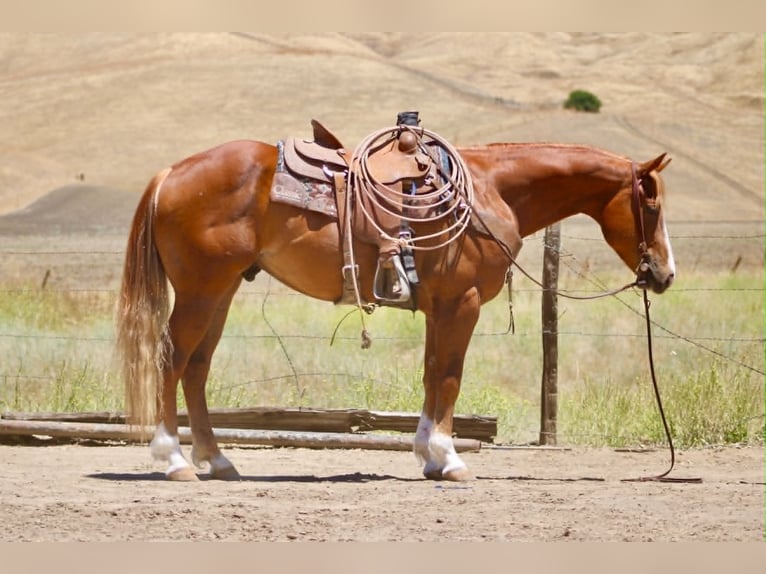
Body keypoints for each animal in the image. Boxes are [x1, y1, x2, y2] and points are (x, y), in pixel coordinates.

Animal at [116, 133, 675, 482]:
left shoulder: (440, 308)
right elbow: (449, 375)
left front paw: (428, 455)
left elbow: (432, 375)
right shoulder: (462, 303)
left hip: (223, 290)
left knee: (196, 368)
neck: (490, 191)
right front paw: (450, 460)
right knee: (172, 360)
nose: (665, 274)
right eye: (651, 205)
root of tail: (171, 173)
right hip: (201, 290)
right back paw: (173, 459)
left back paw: (218, 461)